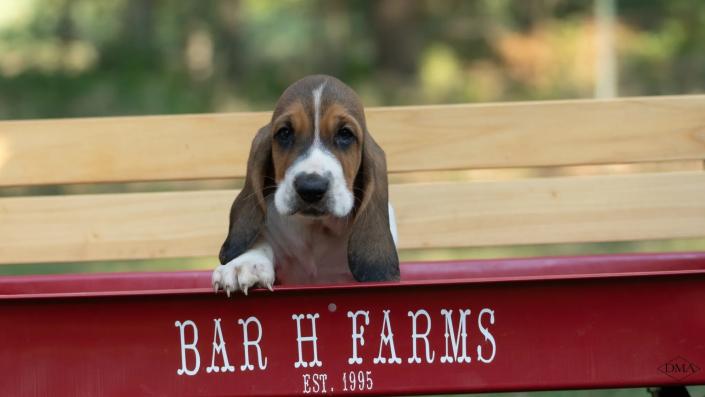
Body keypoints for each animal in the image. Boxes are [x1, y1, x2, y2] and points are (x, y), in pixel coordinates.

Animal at [212, 74, 398, 294]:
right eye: (284, 133)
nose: (311, 188)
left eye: (345, 134)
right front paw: (244, 265)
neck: (315, 228)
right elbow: (261, 242)